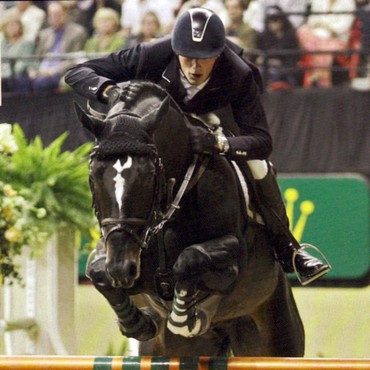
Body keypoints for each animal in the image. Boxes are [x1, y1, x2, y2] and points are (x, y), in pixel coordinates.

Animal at [74, 80, 304, 356]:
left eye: (149, 175)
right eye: (93, 175)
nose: (121, 267)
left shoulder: (233, 255)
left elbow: (190, 259)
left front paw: (184, 317)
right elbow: (97, 269)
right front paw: (140, 322)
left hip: (275, 338)